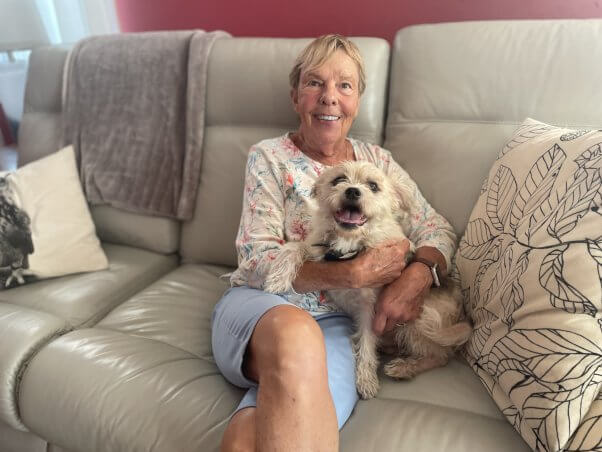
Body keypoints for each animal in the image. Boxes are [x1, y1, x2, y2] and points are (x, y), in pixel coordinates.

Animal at [266, 161, 468, 398]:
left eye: (373, 186)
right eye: (338, 179)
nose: (352, 191)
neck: (350, 242)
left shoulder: (371, 308)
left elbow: (367, 342)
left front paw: (366, 379)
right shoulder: (317, 249)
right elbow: (294, 247)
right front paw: (278, 278)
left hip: (420, 320)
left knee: (441, 356)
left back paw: (405, 367)